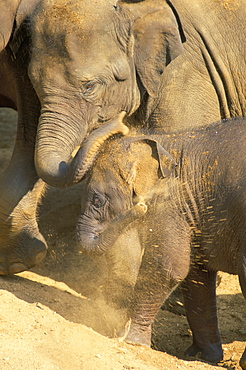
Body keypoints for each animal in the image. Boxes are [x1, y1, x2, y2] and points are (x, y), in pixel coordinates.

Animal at [77, 117, 246, 368]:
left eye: (97, 201)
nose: (140, 207)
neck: (168, 142)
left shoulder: (171, 205)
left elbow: (168, 267)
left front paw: (132, 341)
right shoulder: (192, 212)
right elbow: (195, 276)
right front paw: (202, 356)